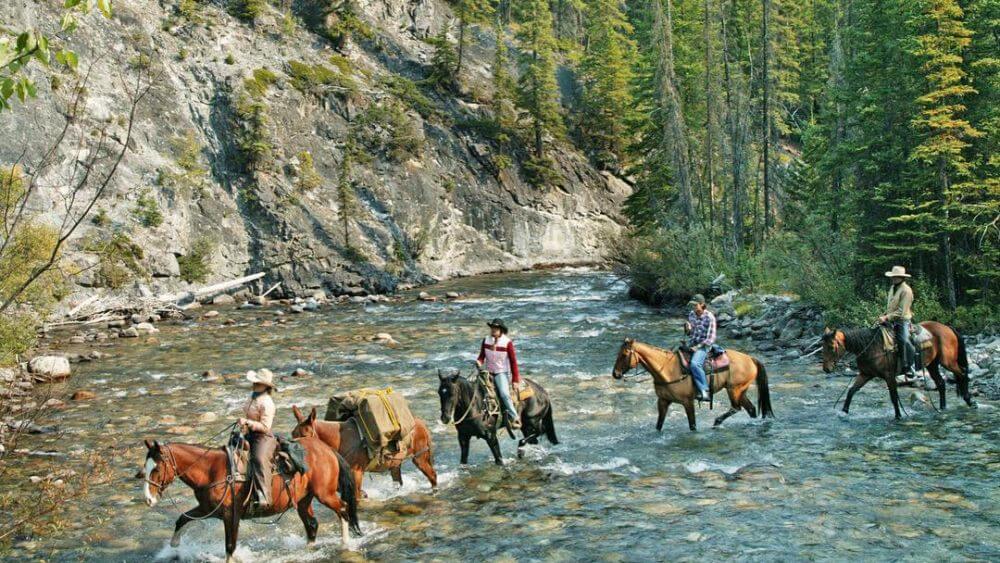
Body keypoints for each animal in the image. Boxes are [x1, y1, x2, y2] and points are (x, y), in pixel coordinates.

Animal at [139, 436, 361, 563]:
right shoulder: (207, 508)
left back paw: (345, 544)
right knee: (312, 524)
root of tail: (328, 450)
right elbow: (183, 518)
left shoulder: (231, 514)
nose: (148, 499)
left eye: (156, 468)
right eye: (145, 467)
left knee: (343, 509)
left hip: (325, 494)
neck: (211, 471)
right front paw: (174, 545)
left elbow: (230, 545)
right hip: (304, 500)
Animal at [290, 405, 438, 499]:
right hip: (395, 464)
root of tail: (421, 423)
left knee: (432, 476)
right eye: (292, 435)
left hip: (419, 458)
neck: (340, 440)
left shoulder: (356, 473)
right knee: (398, 483)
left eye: (304, 436)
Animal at [611, 339, 774, 431]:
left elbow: (692, 425)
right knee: (751, 409)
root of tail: (751, 359)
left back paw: (716, 422)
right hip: (741, 390)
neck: (668, 370)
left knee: (736, 407)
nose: (615, 374)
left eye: (624, 354)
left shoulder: (687, 402)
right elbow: (659, 425)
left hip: (734, 389)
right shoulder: (663, 401)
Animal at [821, 321, 972, 417]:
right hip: (932, 364)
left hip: (948, 362)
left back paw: (969, 400)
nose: (826, 369)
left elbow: (894, 398)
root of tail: (948, 328)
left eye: (831, 347)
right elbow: (851, 391)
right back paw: (943, 407)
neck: (871, 347)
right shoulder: (865, 374)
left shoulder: (889, 376)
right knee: (941, 383)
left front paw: (899, 416)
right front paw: (844, 412)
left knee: (962, 373)